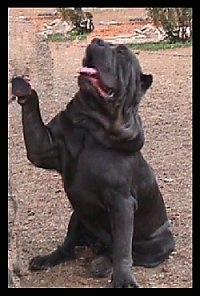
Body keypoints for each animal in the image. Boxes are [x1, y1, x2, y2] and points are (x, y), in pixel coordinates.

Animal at [12, 38, 175, 288]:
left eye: (121, 52)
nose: (97, 41)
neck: (92, 124)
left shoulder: (121, 203)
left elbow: (123, 248)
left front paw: (123, 279)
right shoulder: (43, 146)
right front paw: (25, 88)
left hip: (160, 244)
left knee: (124, 251)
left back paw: (102, 263)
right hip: (77, 215)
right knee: (70, 245)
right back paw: (49, 258)